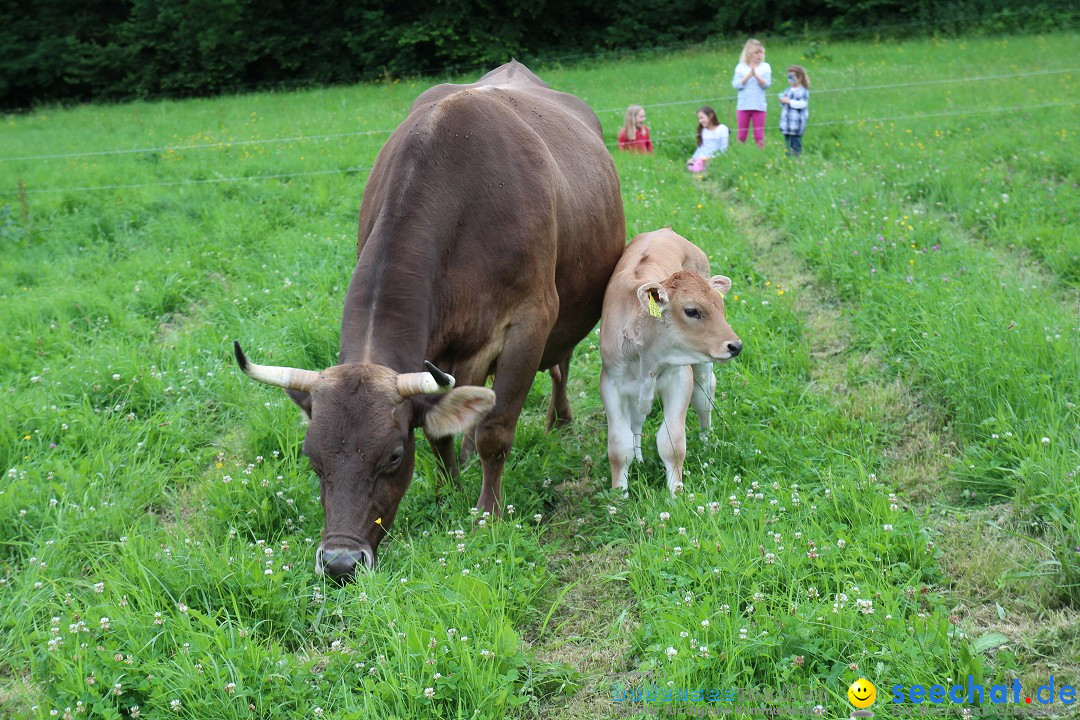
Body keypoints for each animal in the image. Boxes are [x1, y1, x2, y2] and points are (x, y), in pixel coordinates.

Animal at [236, 60, 626, 578]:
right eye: (312, 460)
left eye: (393, 457)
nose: (340, 562)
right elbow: (439, 433)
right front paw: (449, 494)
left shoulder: (530, 322)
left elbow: (496, 430)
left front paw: (487, 512)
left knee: (558, 367)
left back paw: (558, 420)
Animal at [600, 229, 743, 496]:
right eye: (692, 311)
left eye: (720, 306)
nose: (735, 346)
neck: (646, 356)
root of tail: (664, 231)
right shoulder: (611, 384)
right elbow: (619, 447)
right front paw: (619, 495)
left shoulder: (679, 379)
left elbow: (672, 443)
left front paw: (675, 493)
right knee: (637, 420)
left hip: (701, 367)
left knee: (704, 397)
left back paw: (706, 441)